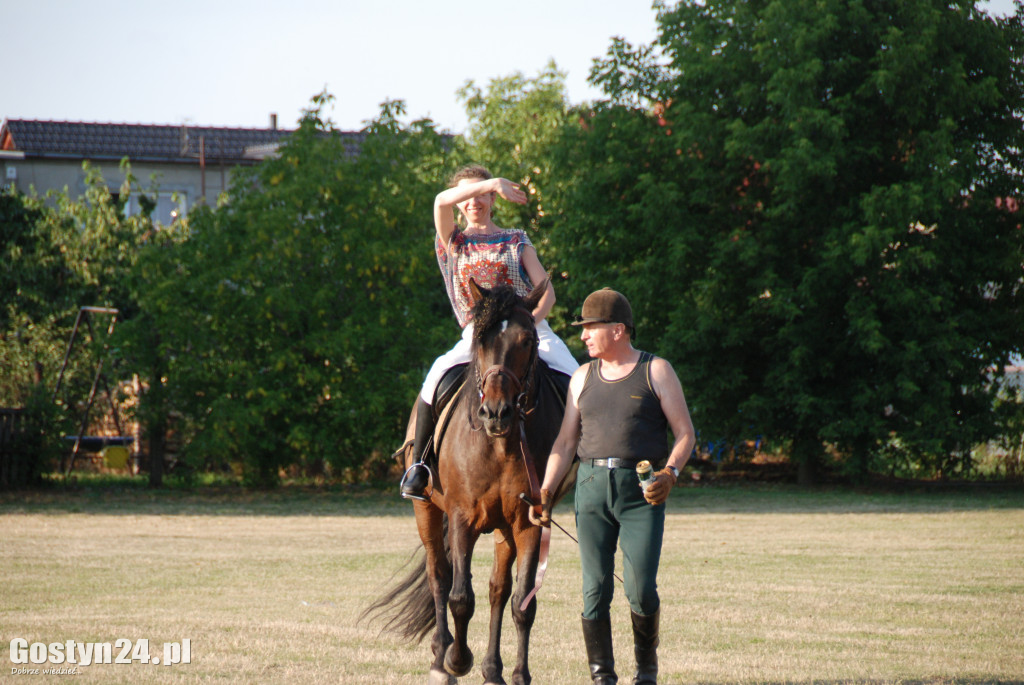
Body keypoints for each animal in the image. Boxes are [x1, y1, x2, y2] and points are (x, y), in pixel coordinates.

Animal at [366, 278, 577, 683]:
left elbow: (522, 602)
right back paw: (441, 658)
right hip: (427, 510)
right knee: (439, 574)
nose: (496, 412)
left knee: (498, 589)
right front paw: (456, 659)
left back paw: (492, 670)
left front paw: (519, 675)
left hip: (504, 527)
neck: (501, 445)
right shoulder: (462, 516)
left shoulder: (527, 522)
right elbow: (460, 596)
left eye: (527, 340)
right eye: (480, 340)